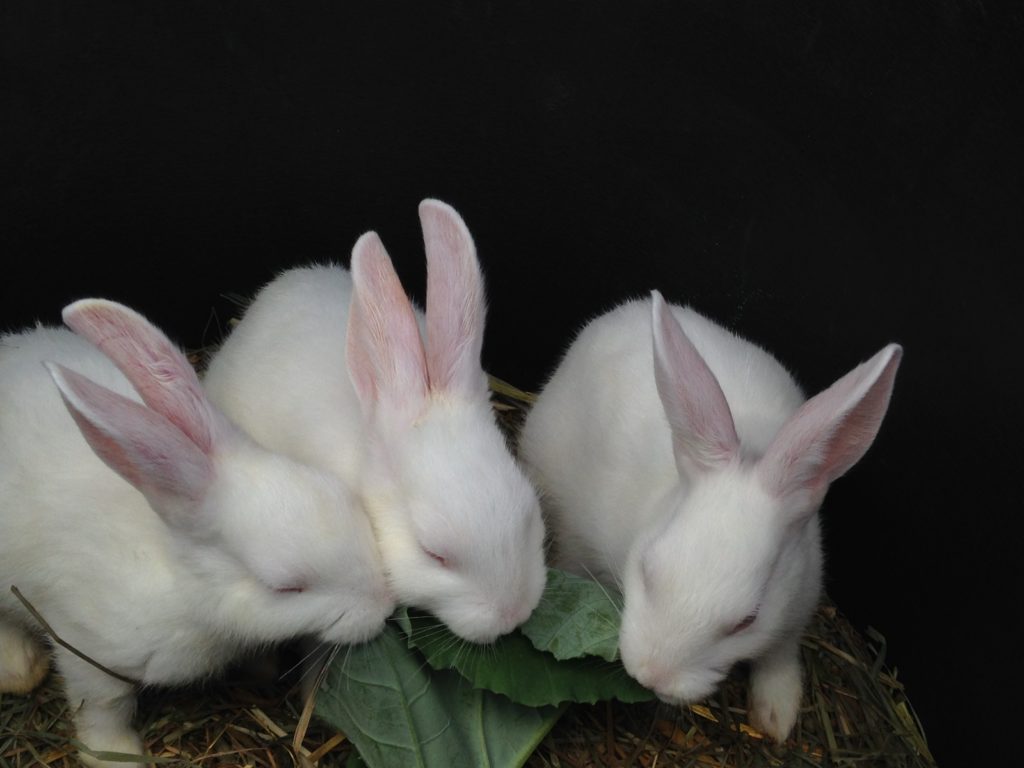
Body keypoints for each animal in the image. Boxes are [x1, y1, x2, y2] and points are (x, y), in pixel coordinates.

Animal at [0, 296, 393, 765]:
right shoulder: (88, 650)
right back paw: (19, 668)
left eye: (341, 498)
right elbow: (103, 705)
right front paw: (115, 754)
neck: (181, 579)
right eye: (286, 588)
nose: (386, 606)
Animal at [520, 290, 905, 741]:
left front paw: (776, 719)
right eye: (647, 571)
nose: (652, 676)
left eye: (747, 621)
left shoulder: (796, 606)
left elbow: (778, 656)